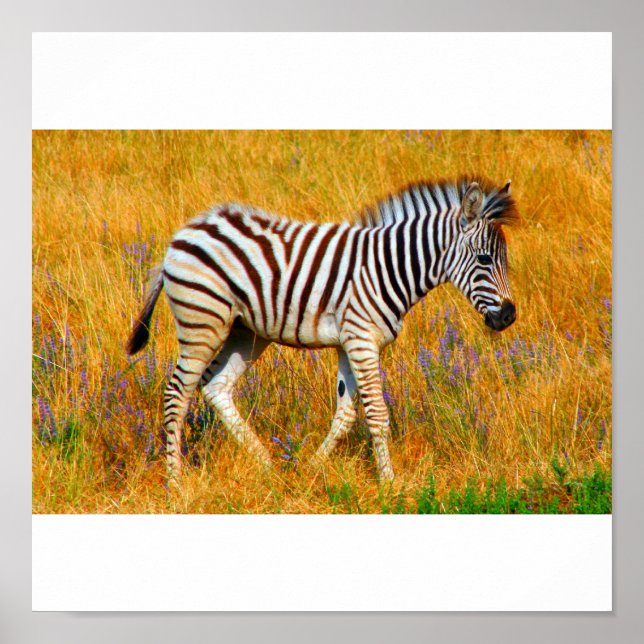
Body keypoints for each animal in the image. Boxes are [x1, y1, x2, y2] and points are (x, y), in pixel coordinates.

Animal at [127, 177, 518, 482]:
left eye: (504, 260)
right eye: (485, 259)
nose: (509, 316)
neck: (388, 267)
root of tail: (185, 232)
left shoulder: (350, 342)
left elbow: (345, 415)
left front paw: (311, 468)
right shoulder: (361, 339)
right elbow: (377, 414)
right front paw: (389, 483)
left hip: (245, 332)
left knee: (215, 386)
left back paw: (266, 464)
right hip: (203, 322)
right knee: (177, 394)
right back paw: (175, 483)